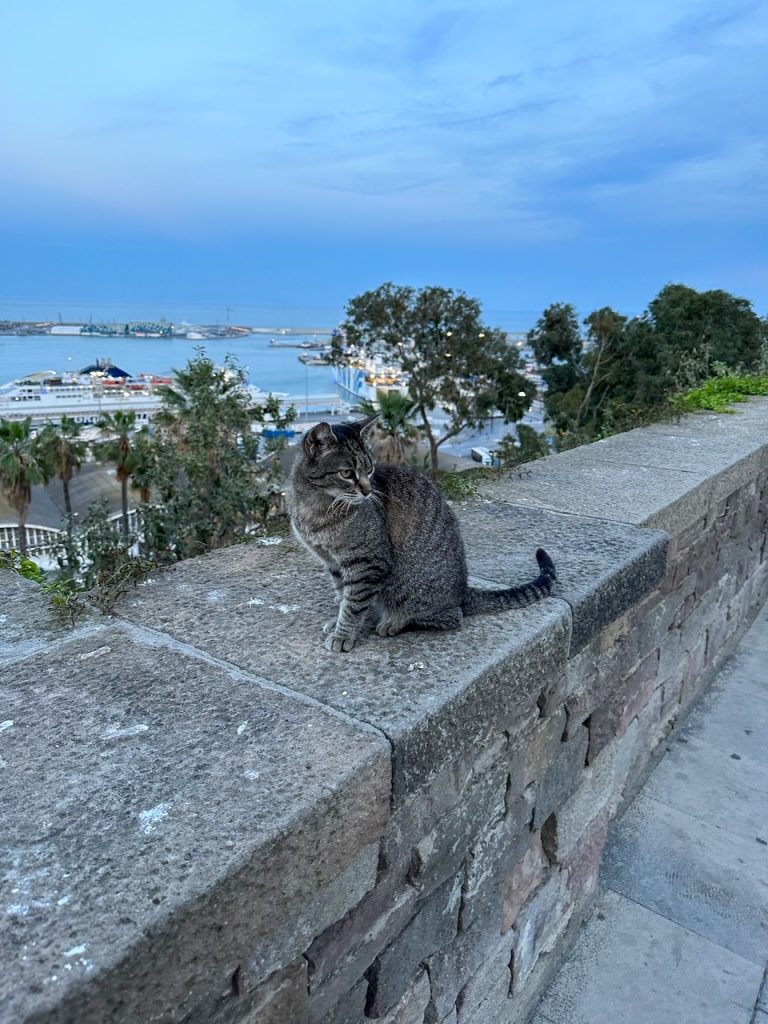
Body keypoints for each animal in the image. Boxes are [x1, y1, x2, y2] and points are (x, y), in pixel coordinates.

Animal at [288, 411, 561, 651]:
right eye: (346, 473)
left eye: (370, 470)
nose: (367, 491)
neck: (317, 507)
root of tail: (462, 590)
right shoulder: (334, 562)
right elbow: (343, 594)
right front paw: (338, 621)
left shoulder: (368, 562)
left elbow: (354, 603)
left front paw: (343, 634)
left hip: (406, 589)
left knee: (451, 616)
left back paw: (394, 622)